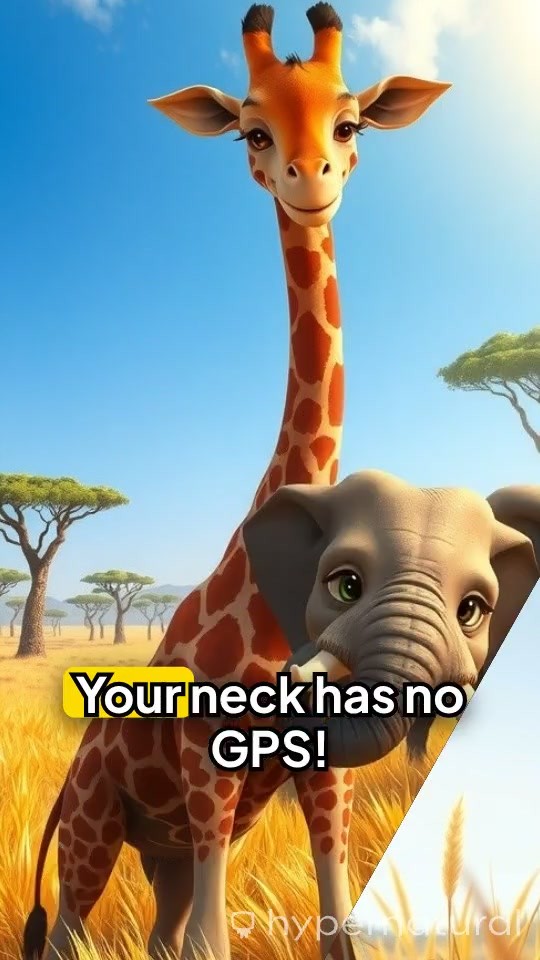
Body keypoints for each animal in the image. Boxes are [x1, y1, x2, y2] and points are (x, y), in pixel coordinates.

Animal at [22, 6, 450, 960]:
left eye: (350, 122)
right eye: (252, 130)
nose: (308, 181)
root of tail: (66, 784)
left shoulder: (324, 768)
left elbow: (337, 929)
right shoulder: (208, 771)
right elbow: (213, 944)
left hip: (164, 856)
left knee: (156, 933)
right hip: (95, 832)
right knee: (73, 933)